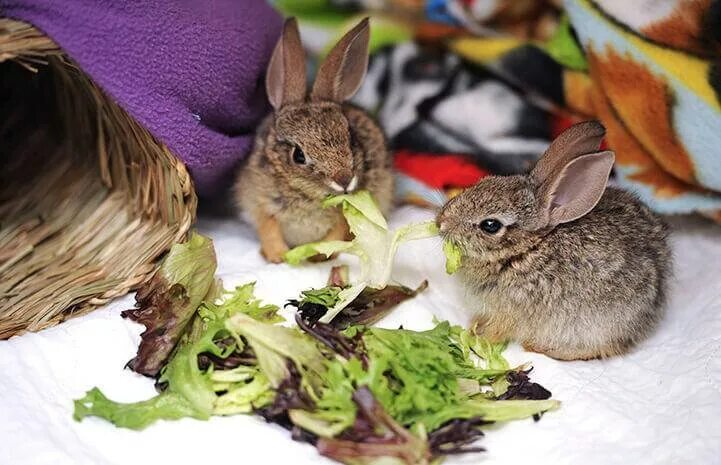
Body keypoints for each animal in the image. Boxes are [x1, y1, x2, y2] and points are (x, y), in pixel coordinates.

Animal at [235, 17, 394, 260]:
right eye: (298, 155)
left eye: (351, 139)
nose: (345, 180)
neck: (309, 195)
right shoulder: (262, 202)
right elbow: (268, 228)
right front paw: (278, 256)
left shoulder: (343, 215)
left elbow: (337, 232)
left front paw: (318, 255)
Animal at [436, 121, 672, 360]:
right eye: (485, 180)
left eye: (490, 225)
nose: (441, 222)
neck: (526, 249)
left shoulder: (511, 312)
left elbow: (497, 330)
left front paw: (475, 337)